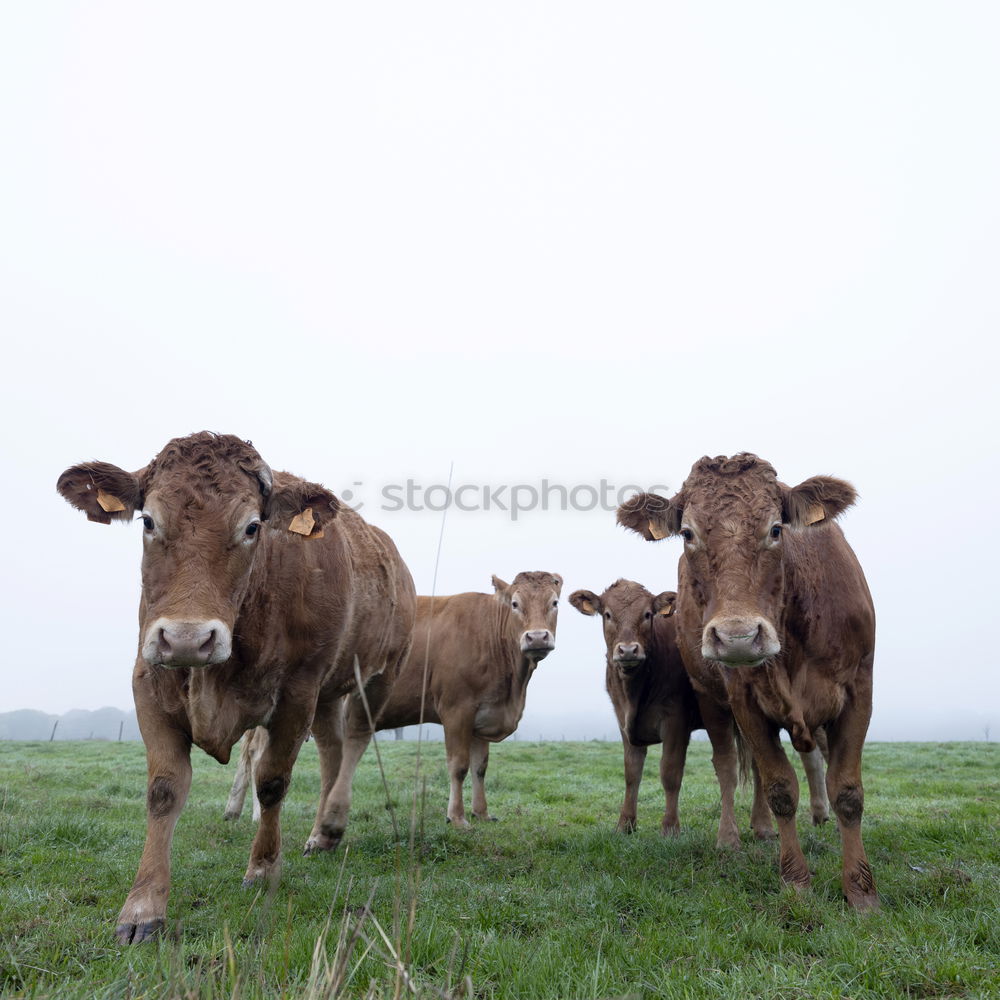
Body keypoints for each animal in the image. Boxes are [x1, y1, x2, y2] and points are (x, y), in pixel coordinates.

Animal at [56, 434, 416, 940]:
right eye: (148, 520)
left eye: (251, 527)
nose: (187, 638)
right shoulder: (148, 681)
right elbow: (164, 790)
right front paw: (142, 907)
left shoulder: (297, 692)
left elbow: (272, 781)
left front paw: (262, 869)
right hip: (328, 693)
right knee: (332, 747)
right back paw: (320, 834)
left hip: (379, 675)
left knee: (356, 742)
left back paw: (331, 823)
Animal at [340, 572, 564, 828]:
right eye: (515, 604)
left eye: (554, 603)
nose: (537, 637)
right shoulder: (457, 710)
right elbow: (459, 766)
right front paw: (457, 817)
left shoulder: (483, 714)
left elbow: (480, 767)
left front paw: (481, 813)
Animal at [620, 458, 880, 912]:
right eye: (687, 533)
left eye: (776, 529)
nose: (738, 636)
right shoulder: (745, 700)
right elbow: (780, 787)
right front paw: (796, 882)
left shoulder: (858, 690)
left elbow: (847, 790)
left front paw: (861, 892)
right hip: (711, 697)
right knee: (729, 767)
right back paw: (734, 836)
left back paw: (766, 829)